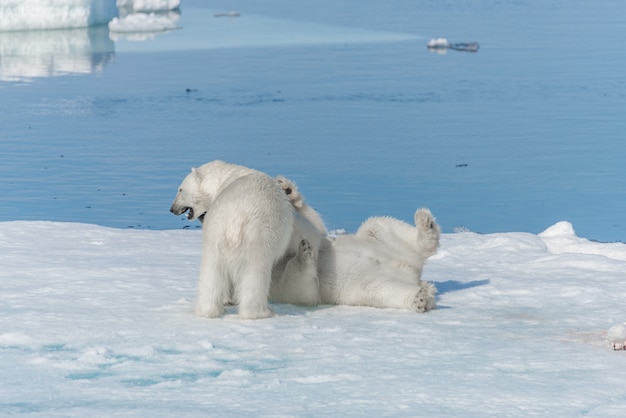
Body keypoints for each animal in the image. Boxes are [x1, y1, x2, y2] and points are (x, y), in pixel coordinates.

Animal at [272, 175, 438, 312]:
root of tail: (412, 272)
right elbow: (299, 290)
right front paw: (303, 253)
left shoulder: (320, 240)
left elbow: (316, 225)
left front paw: (286, 188)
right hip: (371, 288)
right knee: (390, 292)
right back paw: (422, 297)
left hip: (382, 243)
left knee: (379, 225)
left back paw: (426, 223)